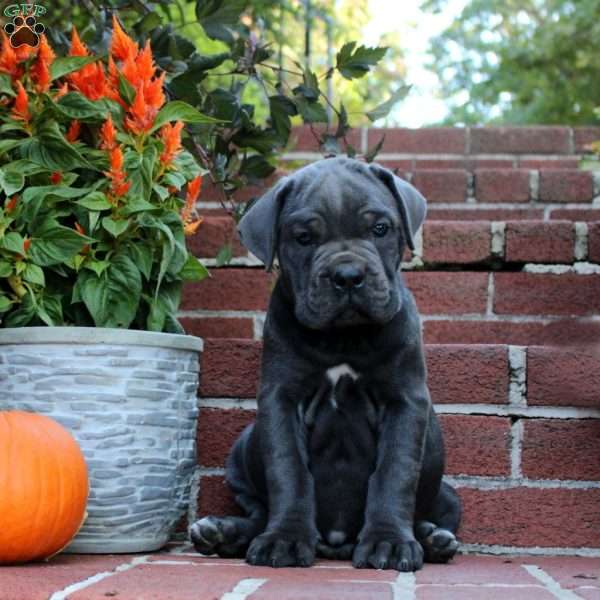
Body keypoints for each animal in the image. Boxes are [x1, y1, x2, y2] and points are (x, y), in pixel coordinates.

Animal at [190, 156, 462, 572]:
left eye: (380, 229)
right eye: (304, 238)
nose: (347, 275)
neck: (343, 338)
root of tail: (335, 544)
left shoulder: (404, 401)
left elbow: (394, 472)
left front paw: (389, 542)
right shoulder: (281, 399)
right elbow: (289, 470)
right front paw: (284, 539)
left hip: (446, 491)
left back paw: (433, 539)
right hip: (243, 447)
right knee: (258, 513)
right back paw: (223, 532)